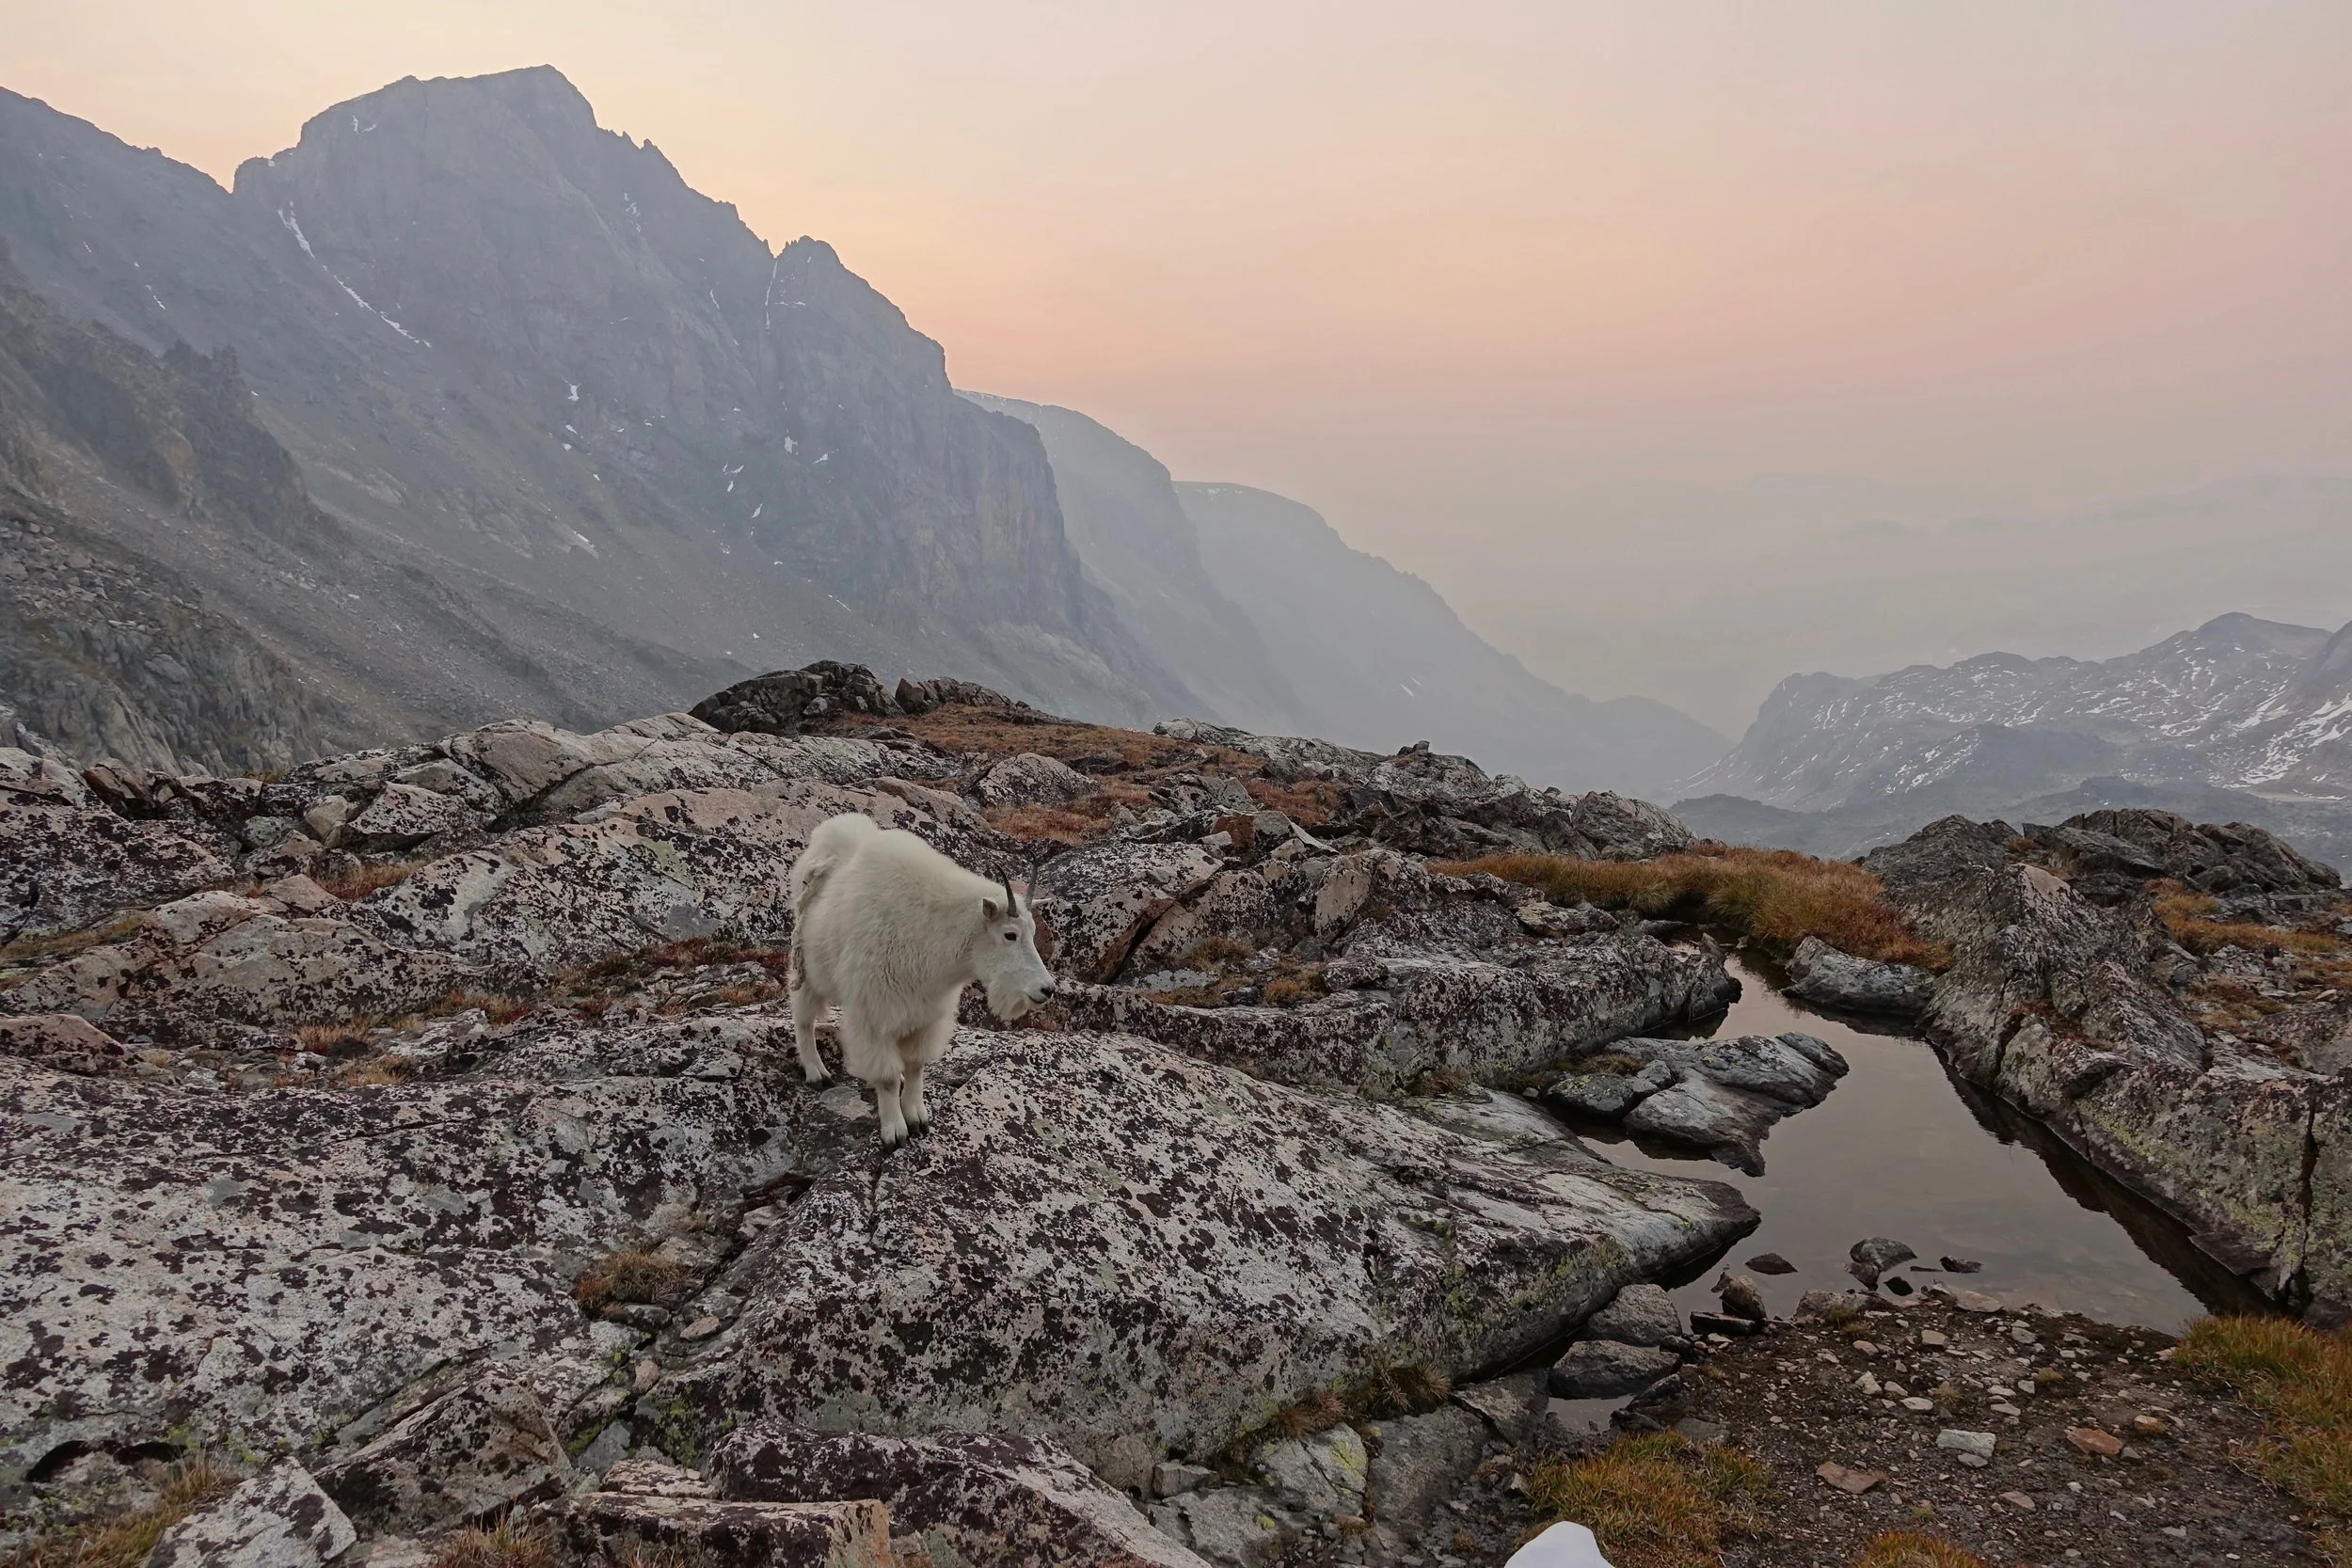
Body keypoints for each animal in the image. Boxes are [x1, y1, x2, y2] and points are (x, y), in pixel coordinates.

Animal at [787, 812, 1054, 1147]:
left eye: (1032, 933)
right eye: (1010, 935)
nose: (1047, 989)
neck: (931, 931)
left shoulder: (927, 1014)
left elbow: (916, 1066)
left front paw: (918, 1118)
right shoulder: (874, 1012)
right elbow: (887, 1078)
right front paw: (895, 1132)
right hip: (807, 969)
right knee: (803, 1018)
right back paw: (816, 1071)